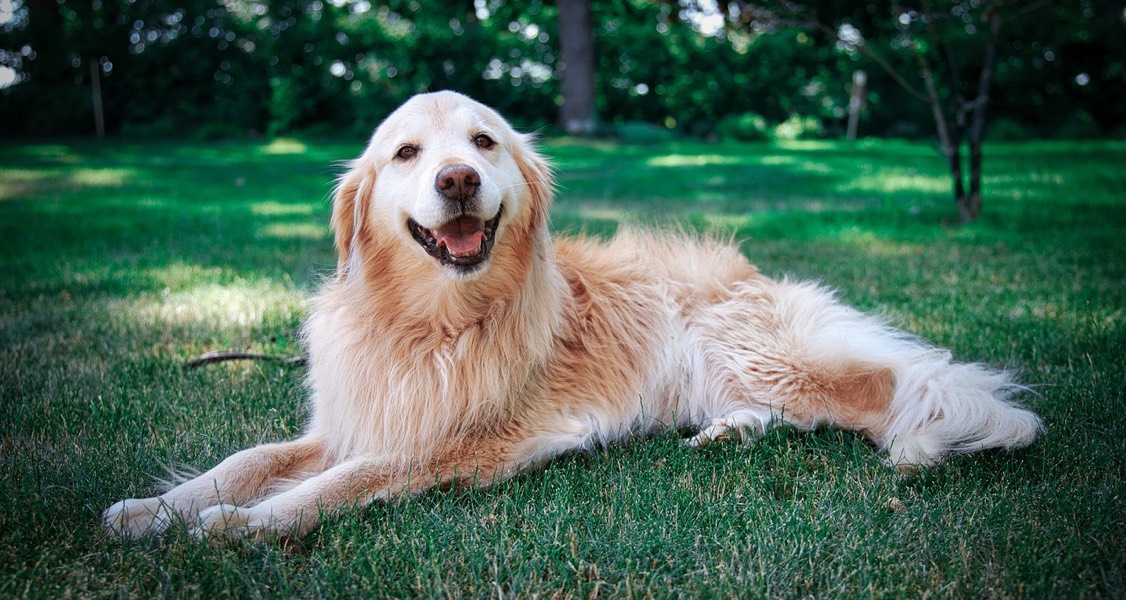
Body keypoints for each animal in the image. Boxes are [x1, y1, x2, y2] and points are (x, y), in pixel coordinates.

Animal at [101, 91, 1040, 540]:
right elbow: (250, 460)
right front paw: (155, 511)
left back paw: (921, 443)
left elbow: (332, 487)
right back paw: (727, 433)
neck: (433, 323)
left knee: (900, 386)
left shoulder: (457, 443)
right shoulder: (356, 416)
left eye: (483, 143)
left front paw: (237, 528)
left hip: (775, 358)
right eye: (407, 153)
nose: (456, 179)